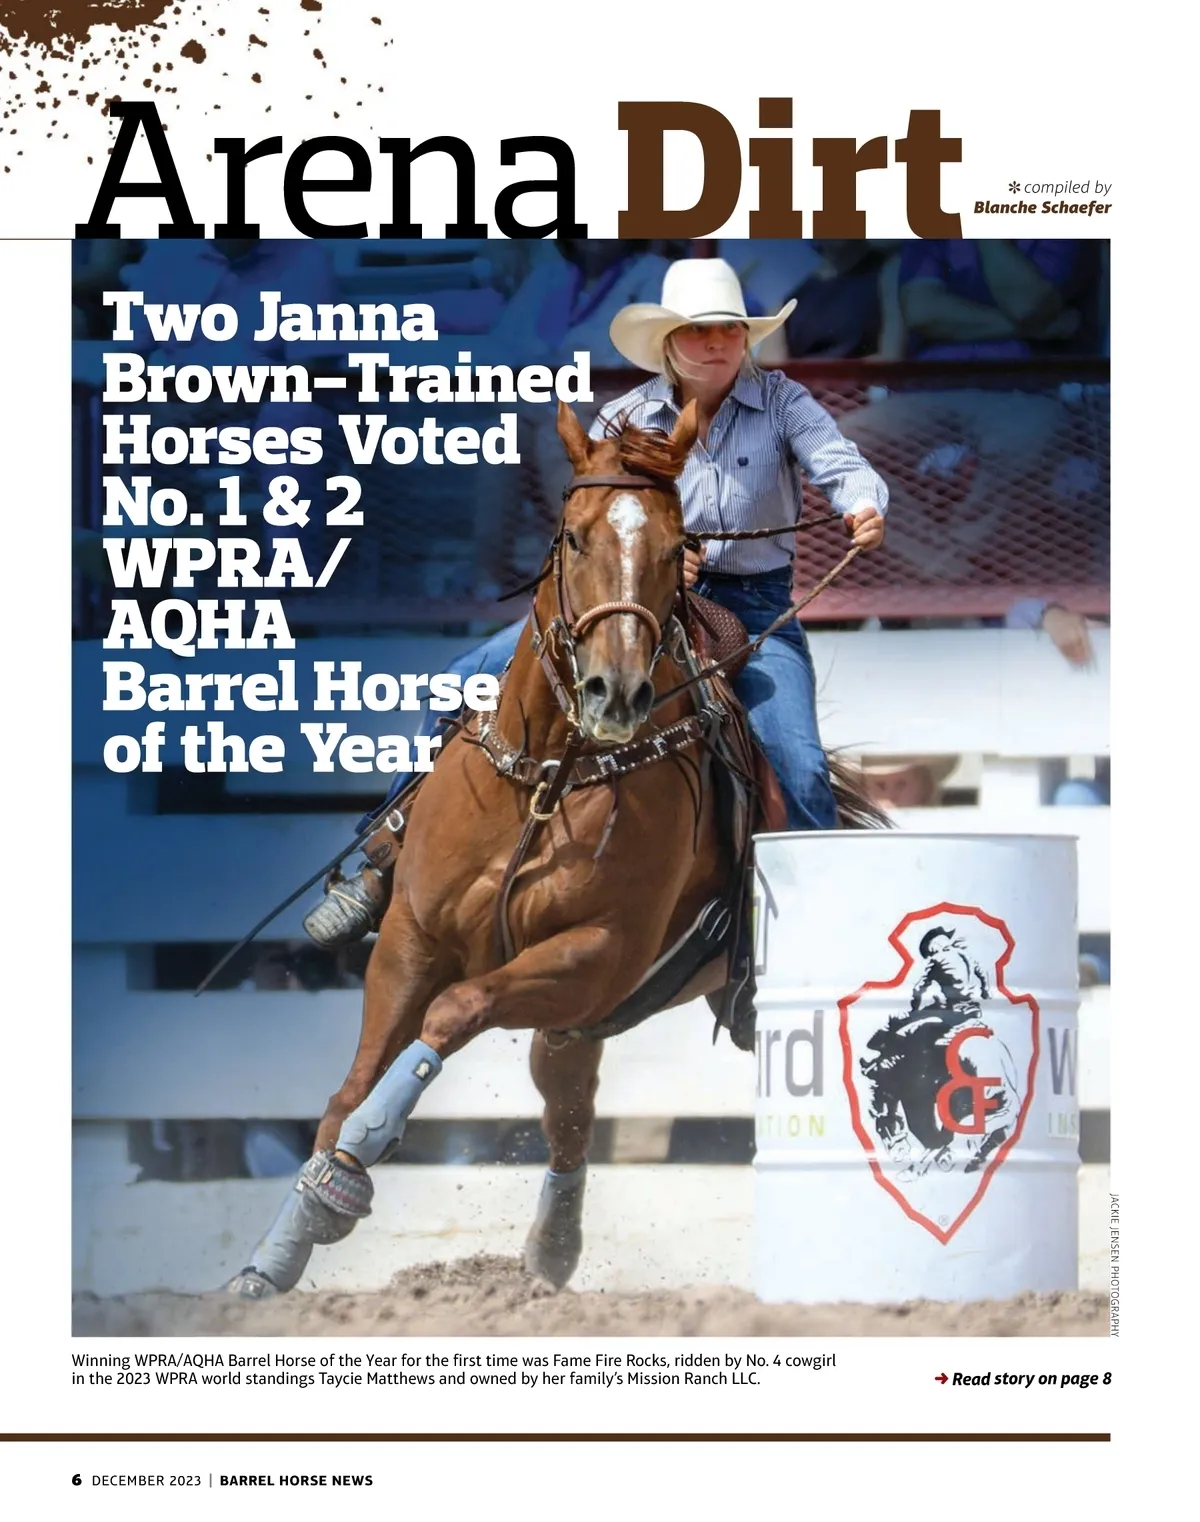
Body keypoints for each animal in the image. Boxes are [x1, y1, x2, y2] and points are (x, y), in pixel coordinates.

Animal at [228, 399, 879, 1299]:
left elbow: (452, 1011)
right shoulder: (411, 939)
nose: (616, 692)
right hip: (574, 1025)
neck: (548, 777)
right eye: (573, 535)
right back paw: (550, 1253)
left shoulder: (594, 955)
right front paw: (278, 1252)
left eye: (677, 547)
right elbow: (345, 1091)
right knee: (569, 1118)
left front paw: (347, 1175)